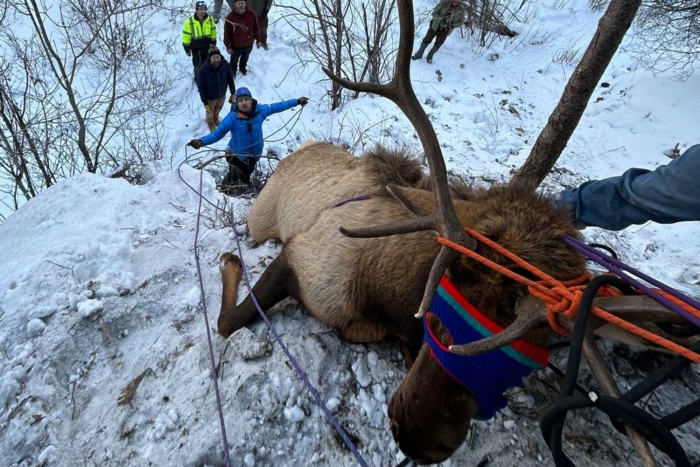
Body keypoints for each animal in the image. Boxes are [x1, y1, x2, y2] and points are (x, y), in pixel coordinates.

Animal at [216, 2, 697, 465]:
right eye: (437, 312)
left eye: (529, 355)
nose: (416, 439)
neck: (384, 294)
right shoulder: (302, 260)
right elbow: (227, 322)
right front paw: (230, 263)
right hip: (260, 218)